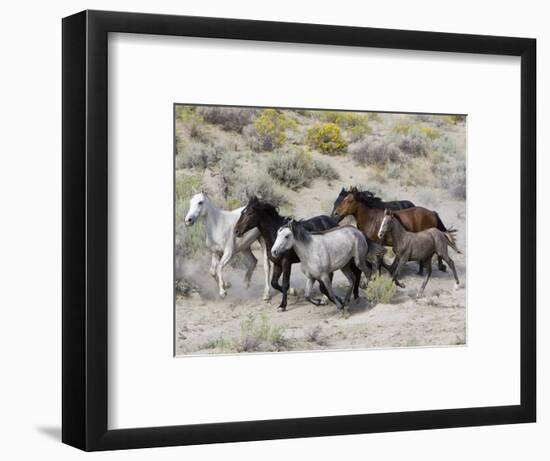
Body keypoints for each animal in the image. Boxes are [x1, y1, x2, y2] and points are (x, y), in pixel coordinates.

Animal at [235, 196, 364, 310]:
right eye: (242, 212)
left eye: (250, 213)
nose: (236, 231)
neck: (274, 236)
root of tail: (333, 221)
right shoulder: (277, 264)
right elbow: (274, 283)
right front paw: (294, 292)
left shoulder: (286, 263)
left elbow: (285, 283)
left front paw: (283, 305)